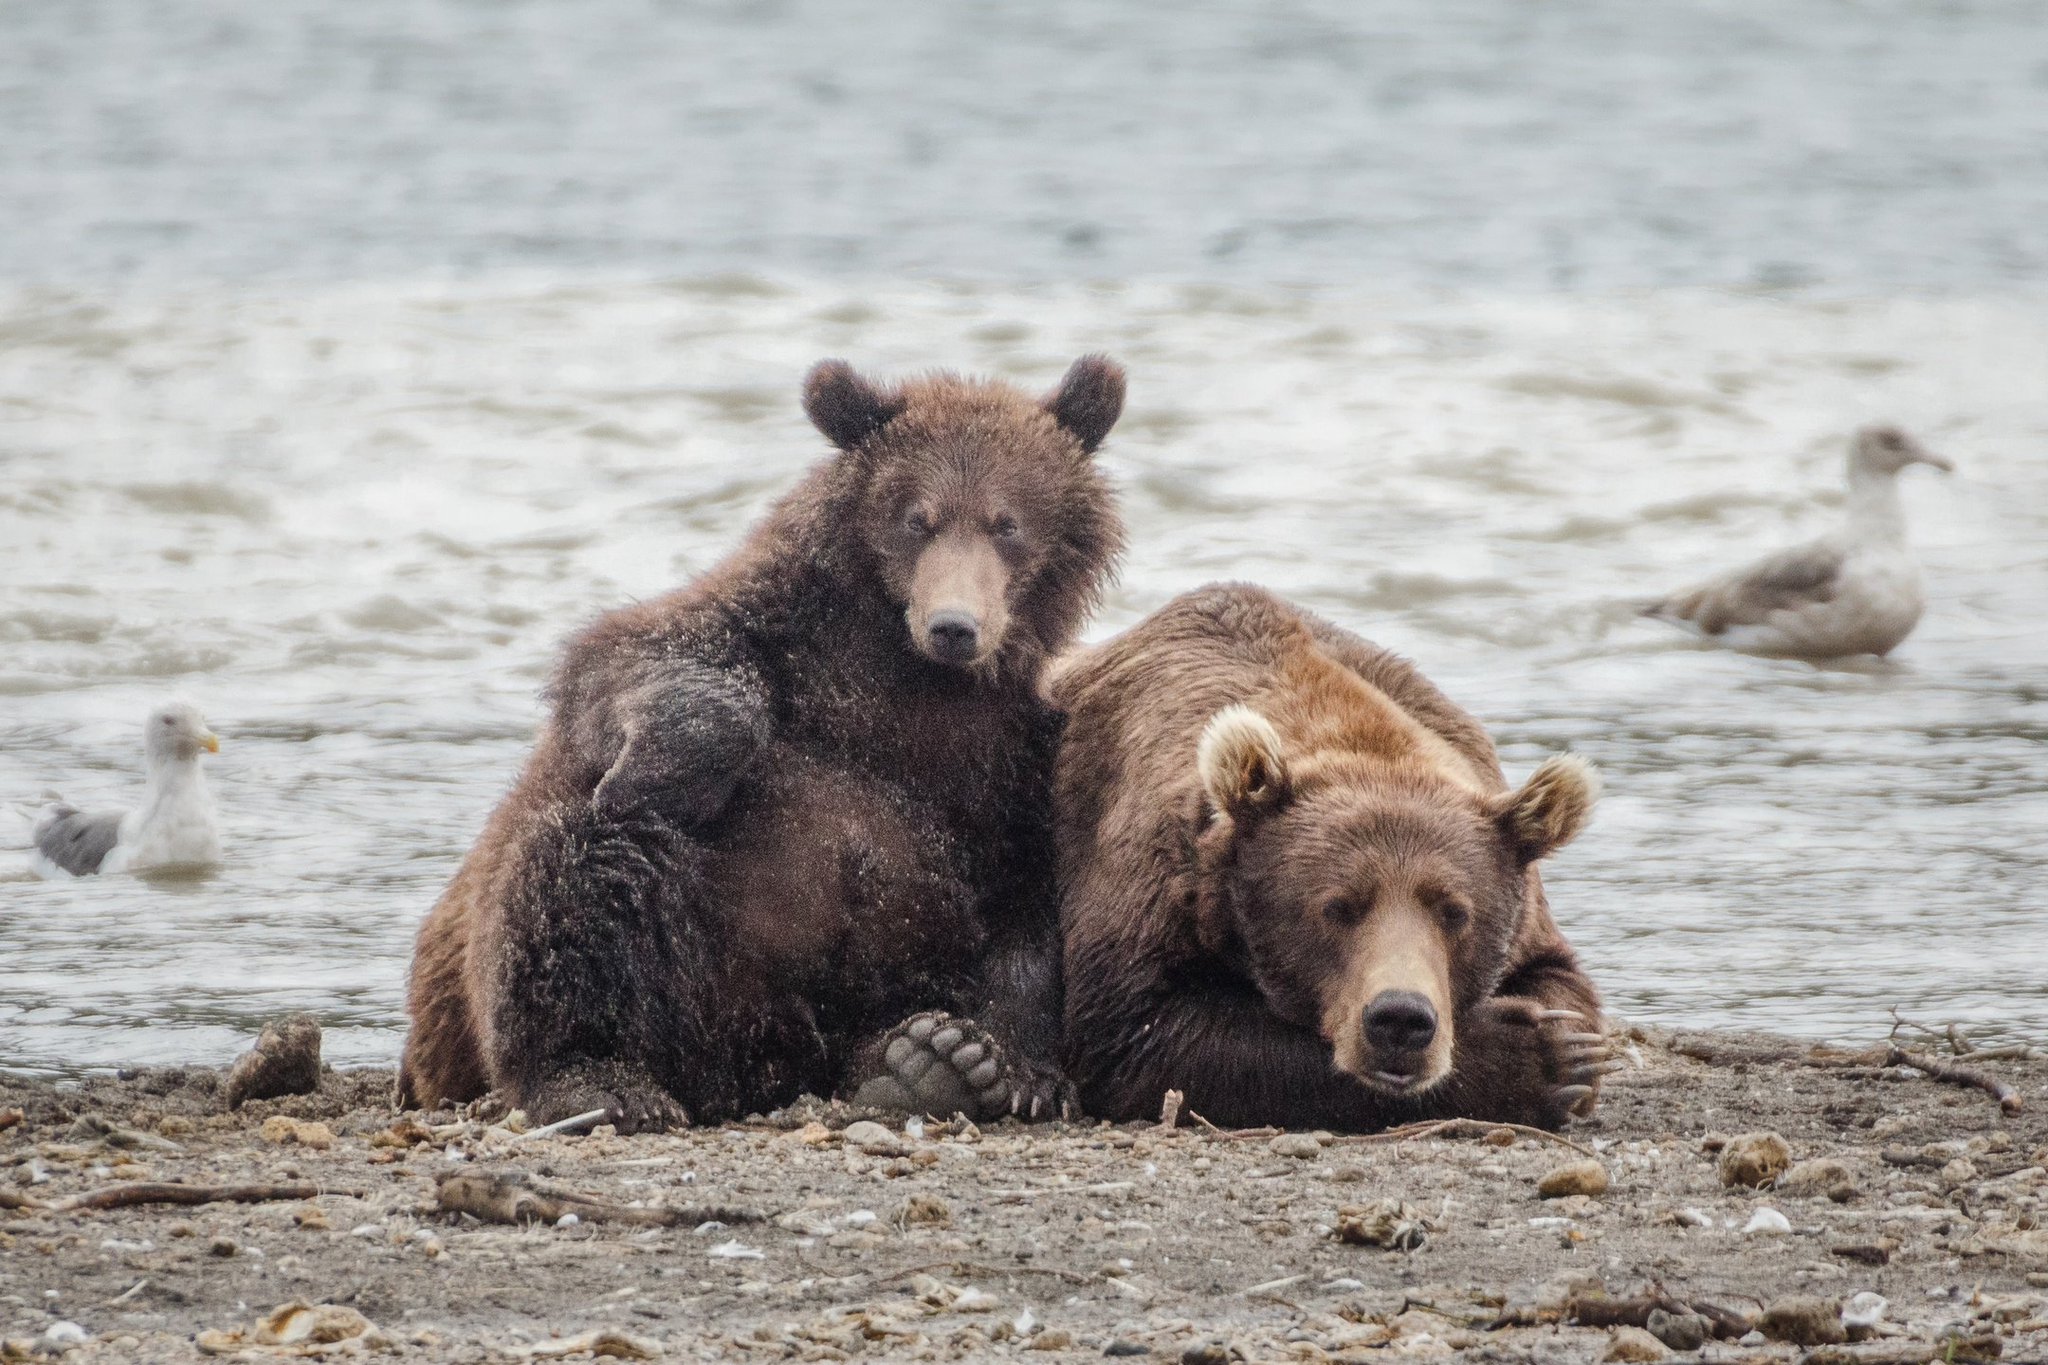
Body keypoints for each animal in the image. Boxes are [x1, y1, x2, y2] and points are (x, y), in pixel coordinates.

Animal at [401, 356, 1130, 1129]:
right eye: (916, 518)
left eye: (1006, 523)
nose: (954, 625)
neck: (910, 681)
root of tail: (748, 1071)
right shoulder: (763, 633)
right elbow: (643, 671)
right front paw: (667, 770)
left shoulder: (1004, 758)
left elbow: (1022, 906)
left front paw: (1018, 1069)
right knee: (577, 873)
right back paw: (597, 1079)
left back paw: (929, 1062)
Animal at [1056, 589, 1613, 1129]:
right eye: (1337, 907)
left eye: (1455, 911)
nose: (1400, 1018)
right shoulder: (1154, 872)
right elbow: (1133, 1031)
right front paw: (1534, 1057)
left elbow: (1558, 976)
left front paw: (1571, 1049)